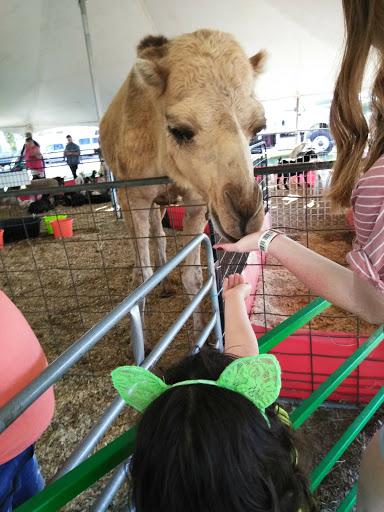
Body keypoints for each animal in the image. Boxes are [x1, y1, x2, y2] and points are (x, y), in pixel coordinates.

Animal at [100, 28, 266, 340]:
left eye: (259, 127)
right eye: (179, 130)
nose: (245, 215)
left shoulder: (196, 197)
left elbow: (193, 274)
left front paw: (201, 333)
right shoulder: (133, 196)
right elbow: (142, 277)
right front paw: (141, 342)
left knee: (159, 232)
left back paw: (165, 284)